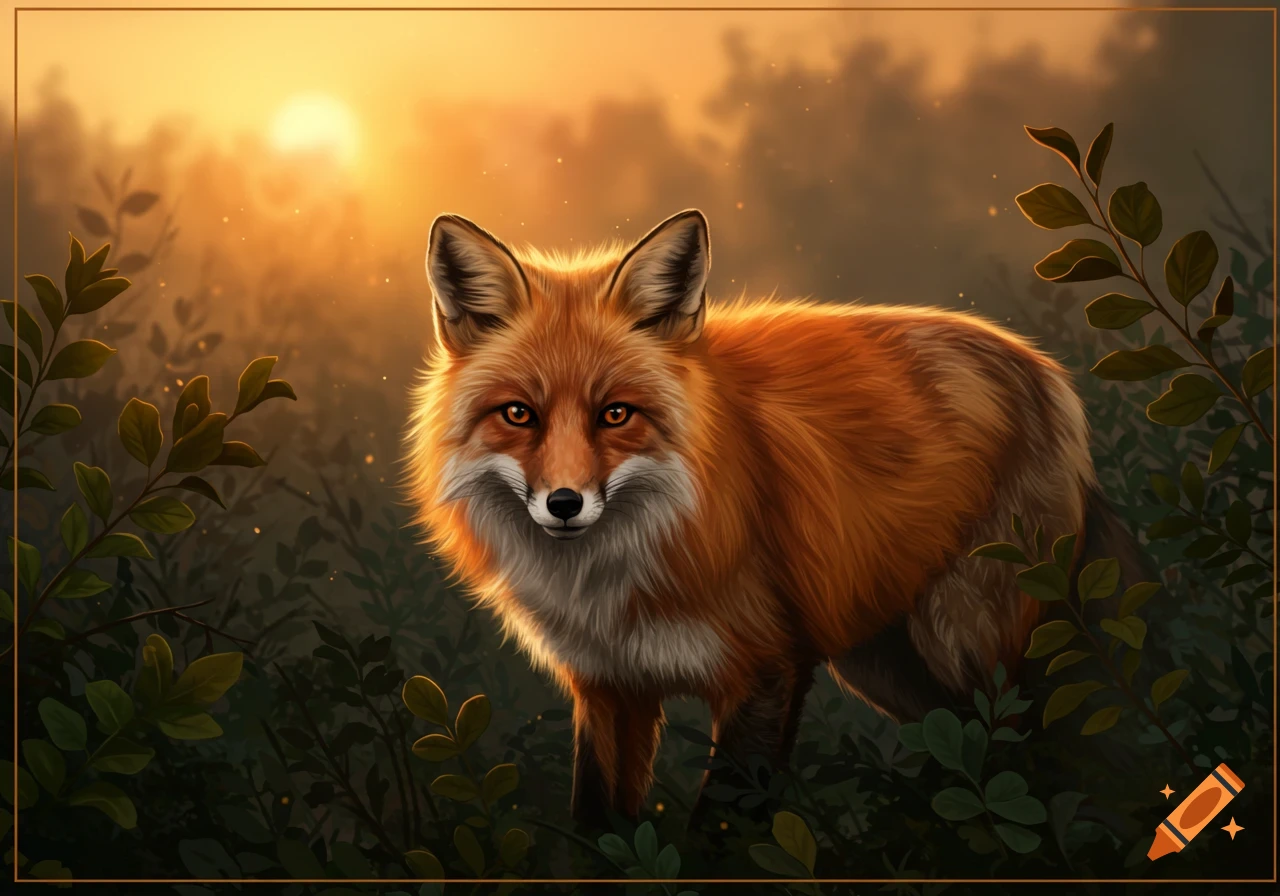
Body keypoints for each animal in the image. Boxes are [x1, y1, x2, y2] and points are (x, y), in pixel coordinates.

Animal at [404, 208, 1110, 828]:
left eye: (616, 414)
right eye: (519, 414)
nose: (565, 503)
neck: (609, 582)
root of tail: (1042, 367)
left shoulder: (767, 668)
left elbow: (720, 829)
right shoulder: (608, 685)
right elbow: (600, 826)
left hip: (963, 643)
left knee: (1020, 754)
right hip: (884, 661)